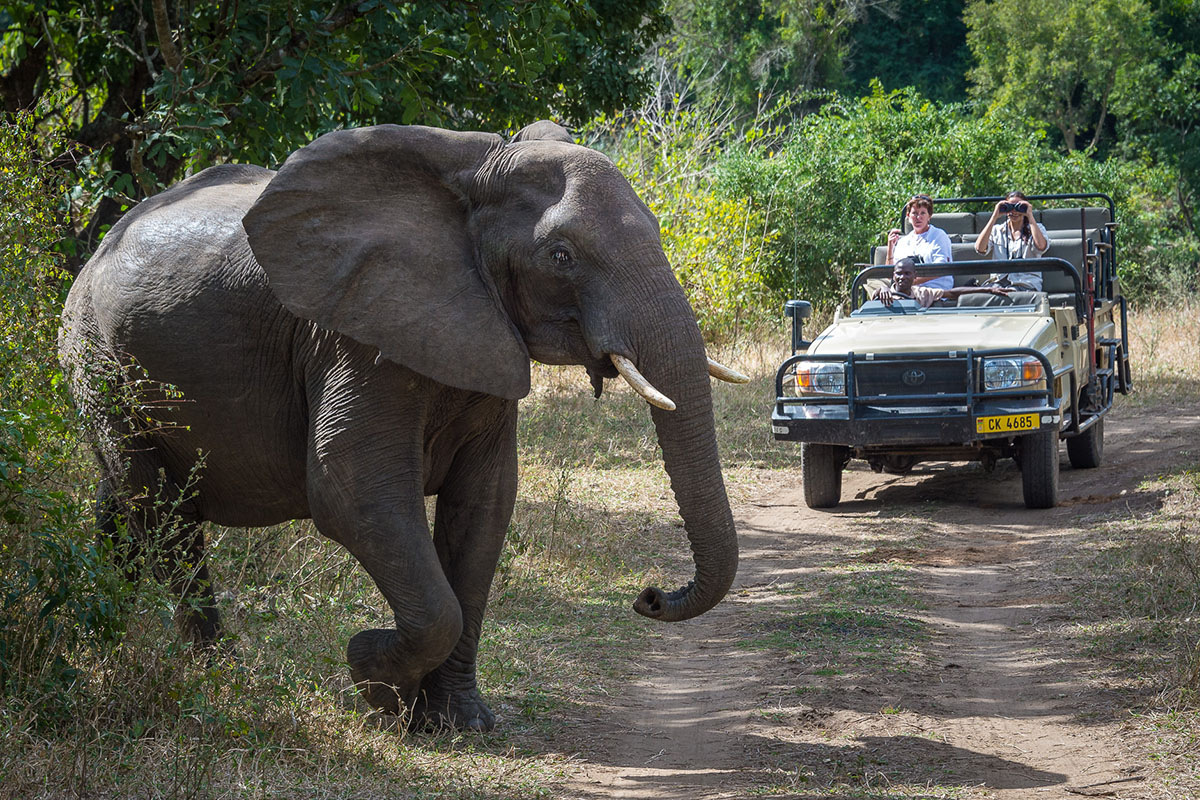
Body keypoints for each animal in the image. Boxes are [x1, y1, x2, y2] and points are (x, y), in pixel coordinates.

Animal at [58, 120, 744, 731]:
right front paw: (373, 678)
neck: (472, 175)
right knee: (162, 513)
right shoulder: (354, 338)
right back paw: (217, 679)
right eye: (560, 255)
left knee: (120, 504)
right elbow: (350, 490)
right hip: (98, 362)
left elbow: (483, 506)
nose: (649, 596)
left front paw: (460, 723)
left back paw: (92, 642)